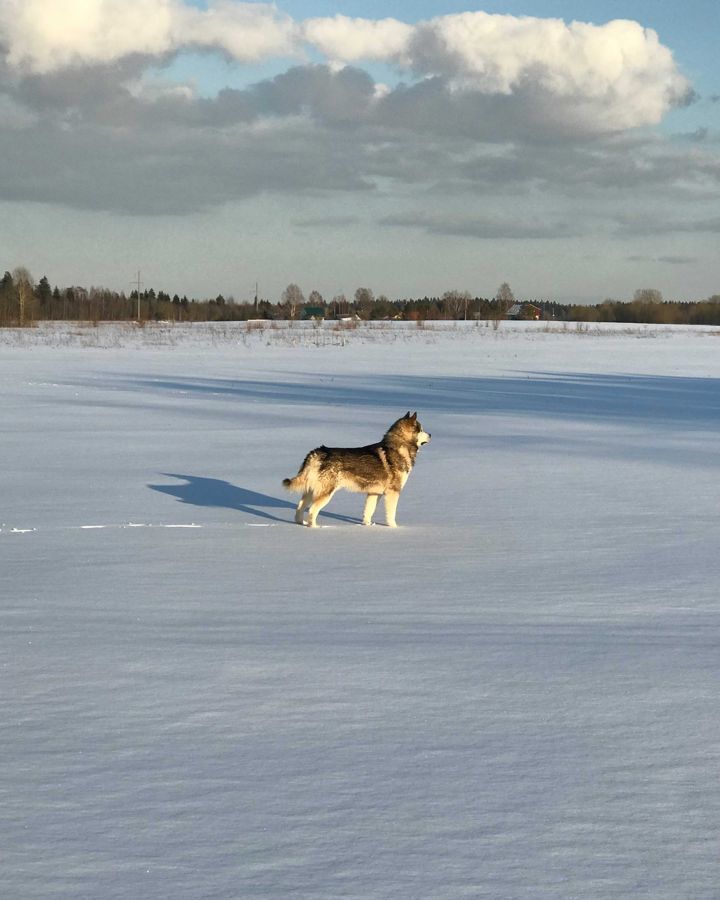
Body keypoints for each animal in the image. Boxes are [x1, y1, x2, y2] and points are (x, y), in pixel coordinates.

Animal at [282, 414, 430, 532]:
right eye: (421, 429)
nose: (430, 435)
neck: (399, 447)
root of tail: (318, 452)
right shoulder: (393, 492)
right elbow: (391, 515)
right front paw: (395, 528)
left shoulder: (374, 493)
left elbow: (368, 512)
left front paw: (368, 526)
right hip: (326, 493)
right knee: (313, 510)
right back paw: (315, 528)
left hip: (310, 490)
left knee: (299, 508)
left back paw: (301, 523)